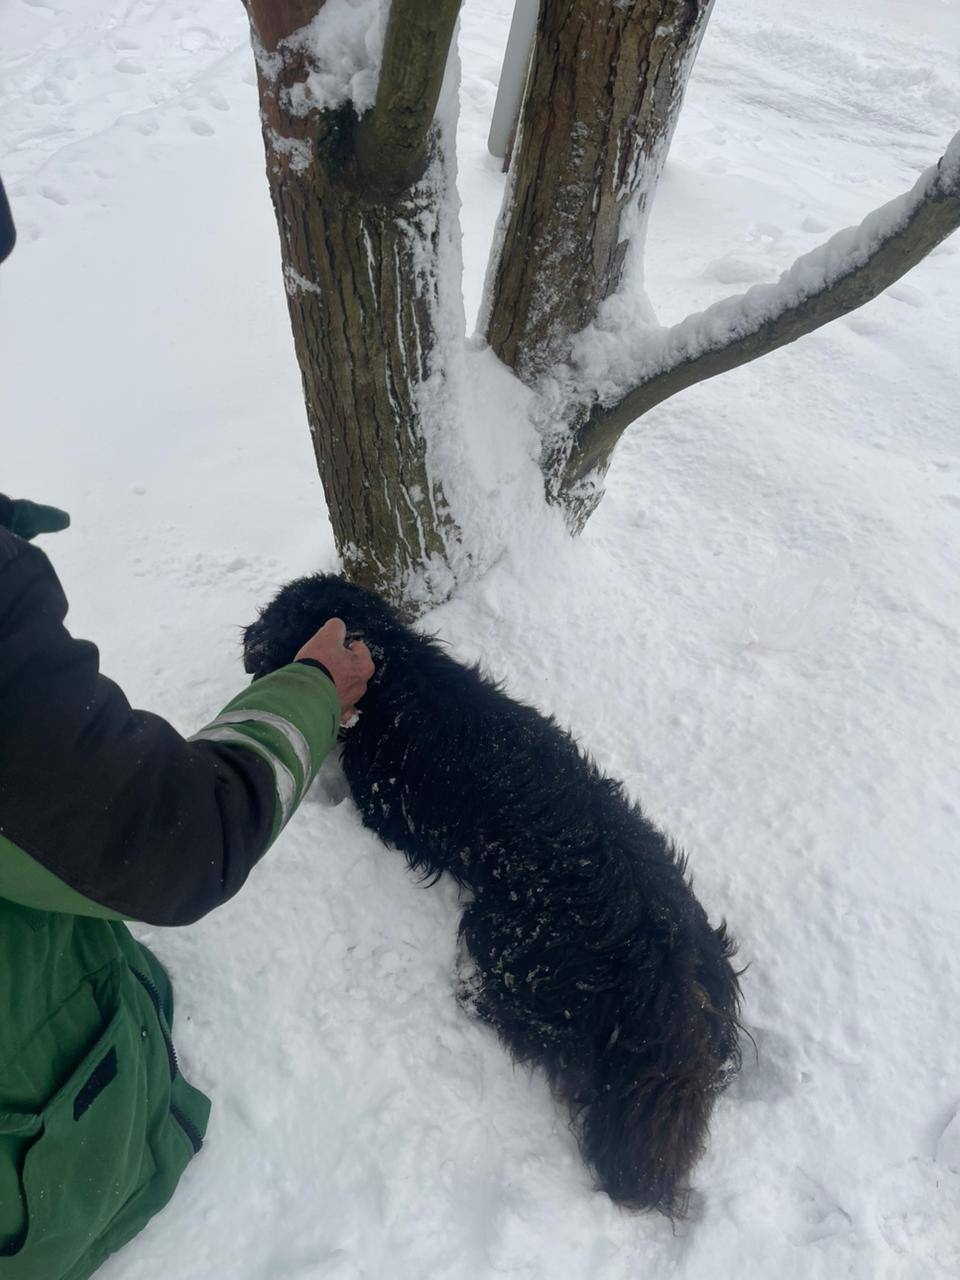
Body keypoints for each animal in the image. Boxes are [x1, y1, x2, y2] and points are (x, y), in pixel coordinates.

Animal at [244, 574, 742, 1214]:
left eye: (282, 618)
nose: (249, 645)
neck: (396, 677)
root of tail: (665, 961)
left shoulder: (381, 810)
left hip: (504, 938)